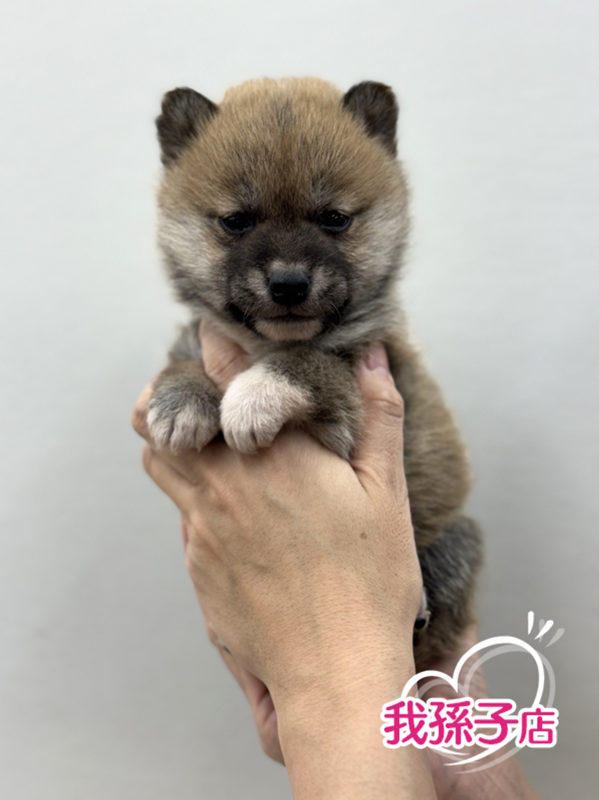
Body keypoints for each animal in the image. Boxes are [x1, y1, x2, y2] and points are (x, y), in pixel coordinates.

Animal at [148, 77, 483, 668]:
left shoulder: (353, 393)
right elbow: (183, 357)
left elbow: (309, 363)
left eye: (334, 218)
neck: (263, 343)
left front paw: (253, 395)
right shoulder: (199, 335)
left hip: (454, 538)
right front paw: (180, 401)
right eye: (236, 221)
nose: (288, 284)